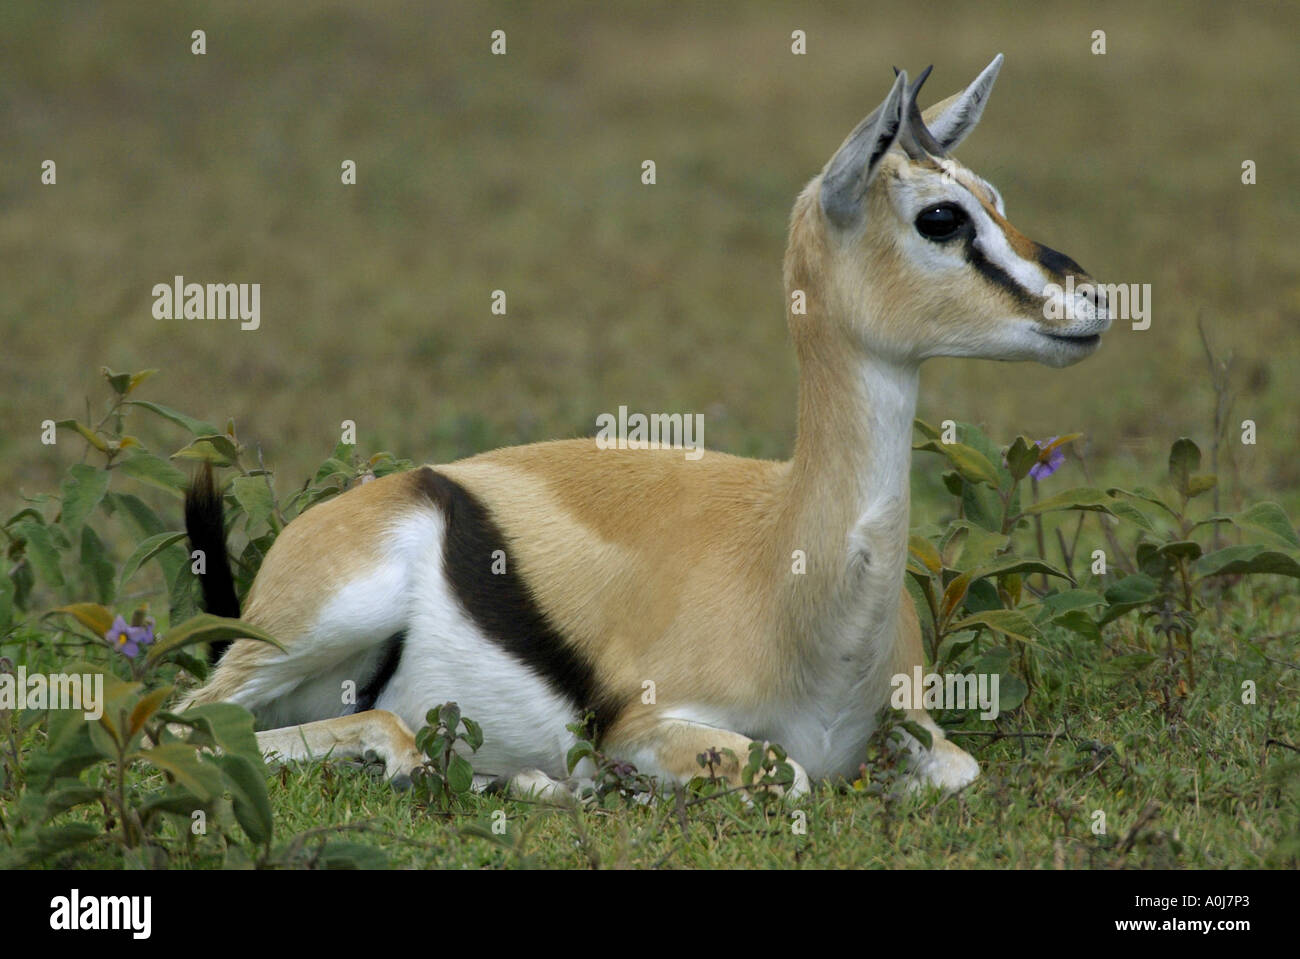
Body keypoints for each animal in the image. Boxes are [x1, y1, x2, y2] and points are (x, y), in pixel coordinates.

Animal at [180, 55, 1110, 800]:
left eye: (995, 197)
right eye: (942, 217)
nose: (1097, 298)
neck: (794, 578)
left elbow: (958, 768)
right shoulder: (652, 725)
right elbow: (791, 775)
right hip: (316, 627)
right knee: (188, 720)